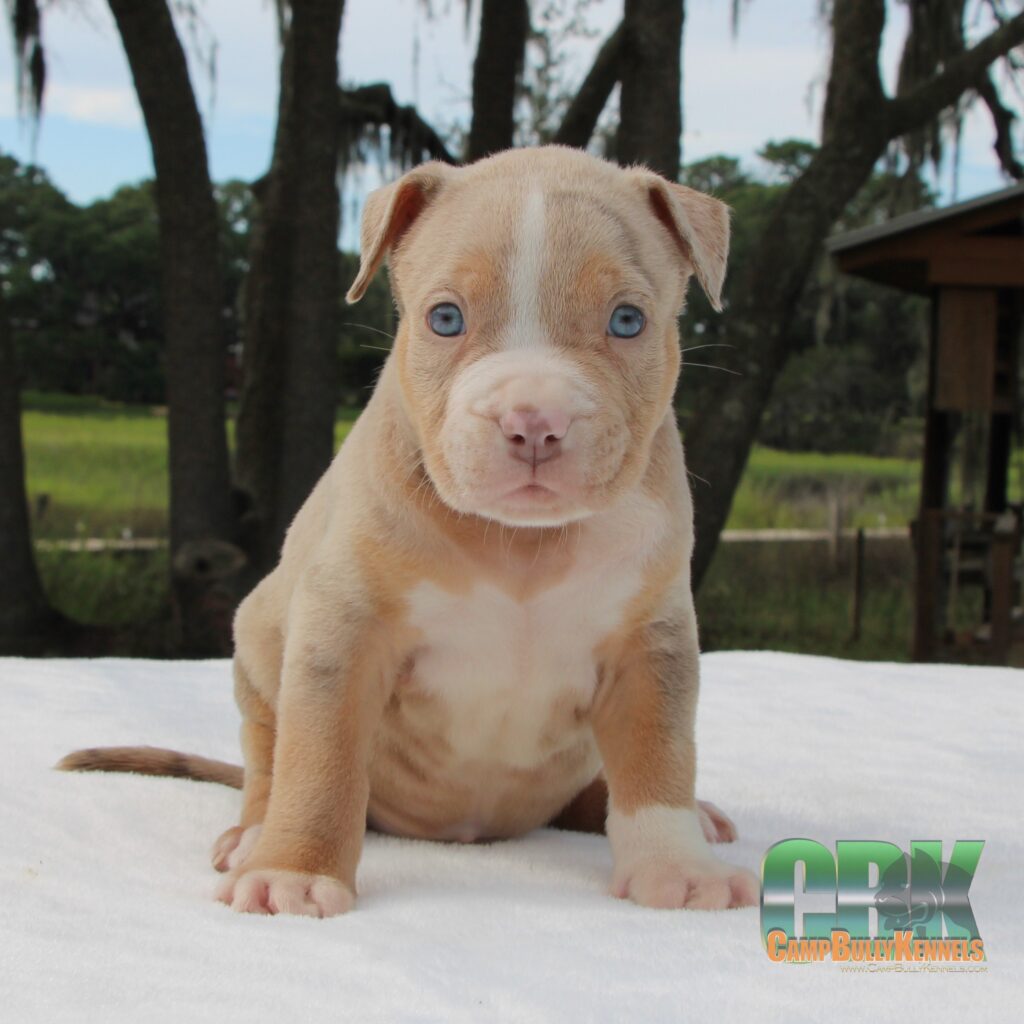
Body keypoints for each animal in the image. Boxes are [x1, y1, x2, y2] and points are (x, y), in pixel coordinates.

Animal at [59, 146, 757, 921]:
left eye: (629, 320)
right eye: (445, 318)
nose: (534, 420)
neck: (522, 544)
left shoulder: (650, 648)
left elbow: (658, 758)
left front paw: (676, 868)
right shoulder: (343, 631)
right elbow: (321, 761)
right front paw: (293, 872)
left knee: (596, 792)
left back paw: (687, 817)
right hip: (259, 645)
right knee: (268, 758)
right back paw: (252, 837)